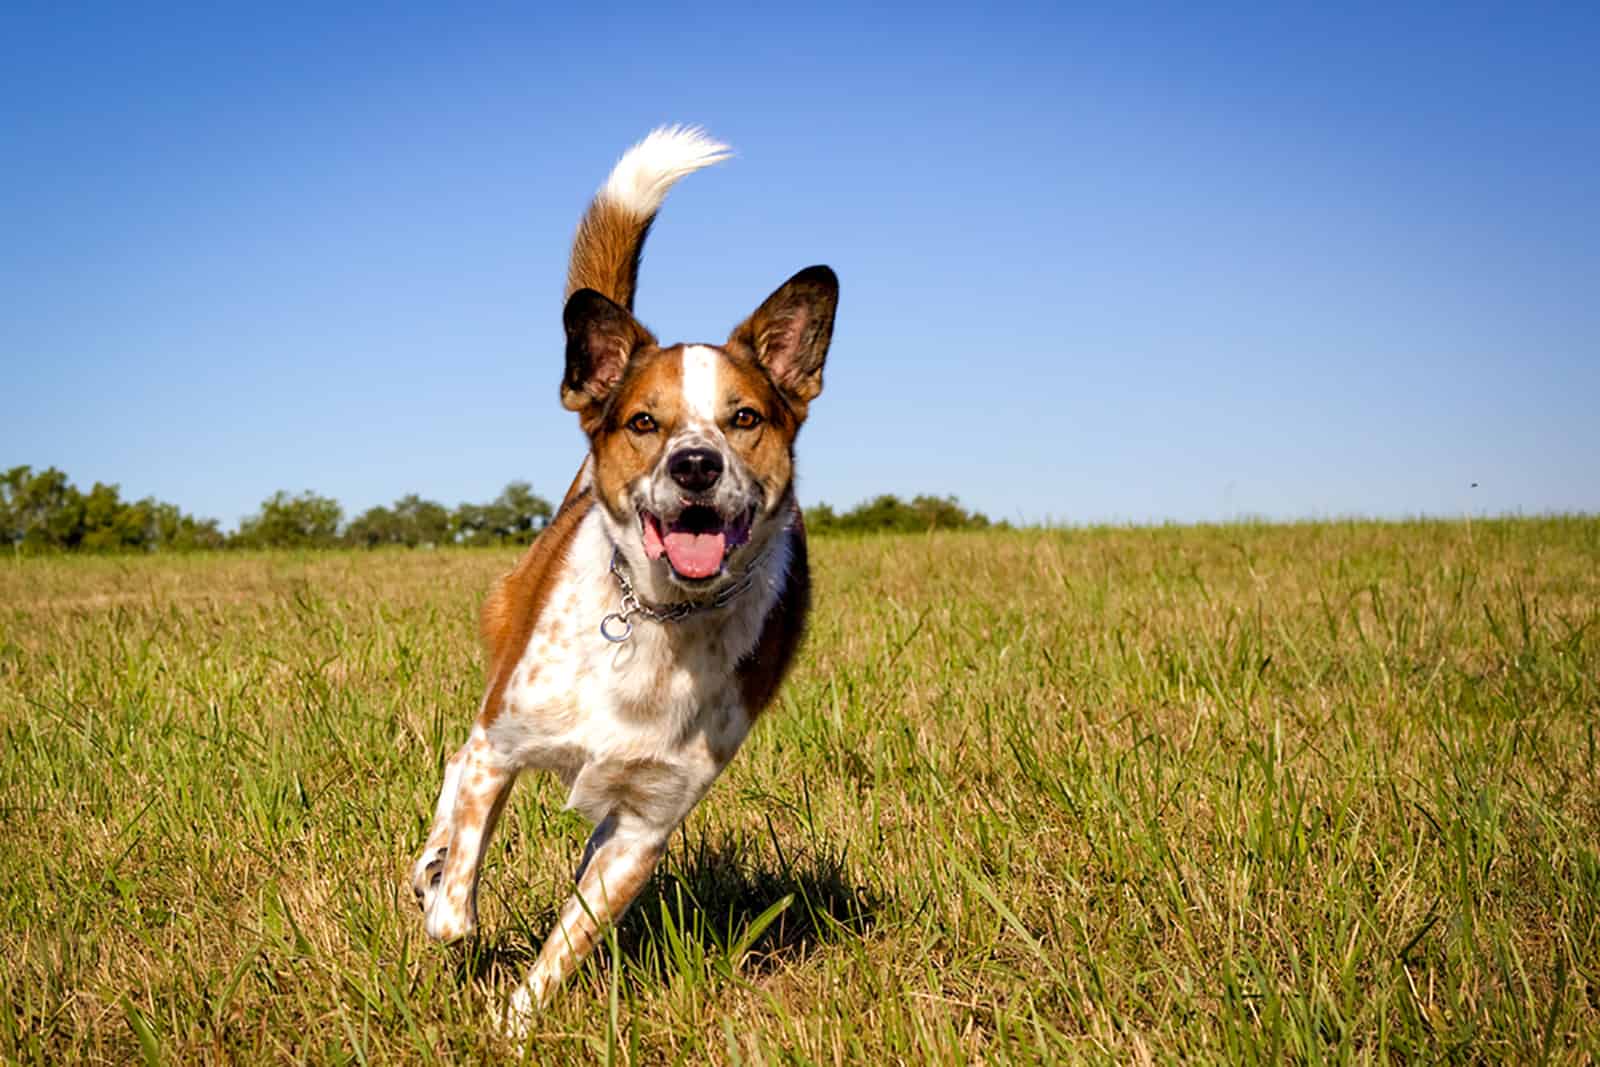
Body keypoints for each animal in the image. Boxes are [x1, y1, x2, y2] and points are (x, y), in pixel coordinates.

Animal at [409, 125, 838, 1036]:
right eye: (645, 422)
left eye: (744, 418)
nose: (696, 464)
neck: (659, 618)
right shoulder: (503, 742)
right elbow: (458, 893)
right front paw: (443, 894)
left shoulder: (644, 827)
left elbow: (567, 942)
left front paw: (514, 1027)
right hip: (502, 656)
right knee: (453, 773)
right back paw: (429, 860)